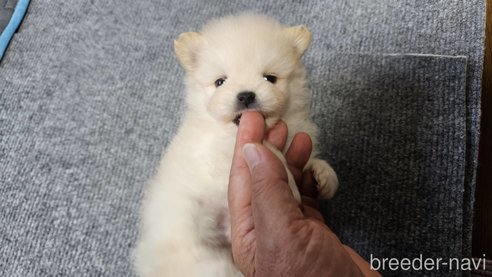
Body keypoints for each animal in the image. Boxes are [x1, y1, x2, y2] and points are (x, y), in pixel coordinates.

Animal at [135, 13, 338, 276]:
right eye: (220, 82)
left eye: (270, 78)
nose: (246, 95)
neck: (229, 129)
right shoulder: (216, 155)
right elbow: (270, 151)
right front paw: (290, 184)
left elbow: (307, 161)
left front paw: (323, 174)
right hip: (201, 257)